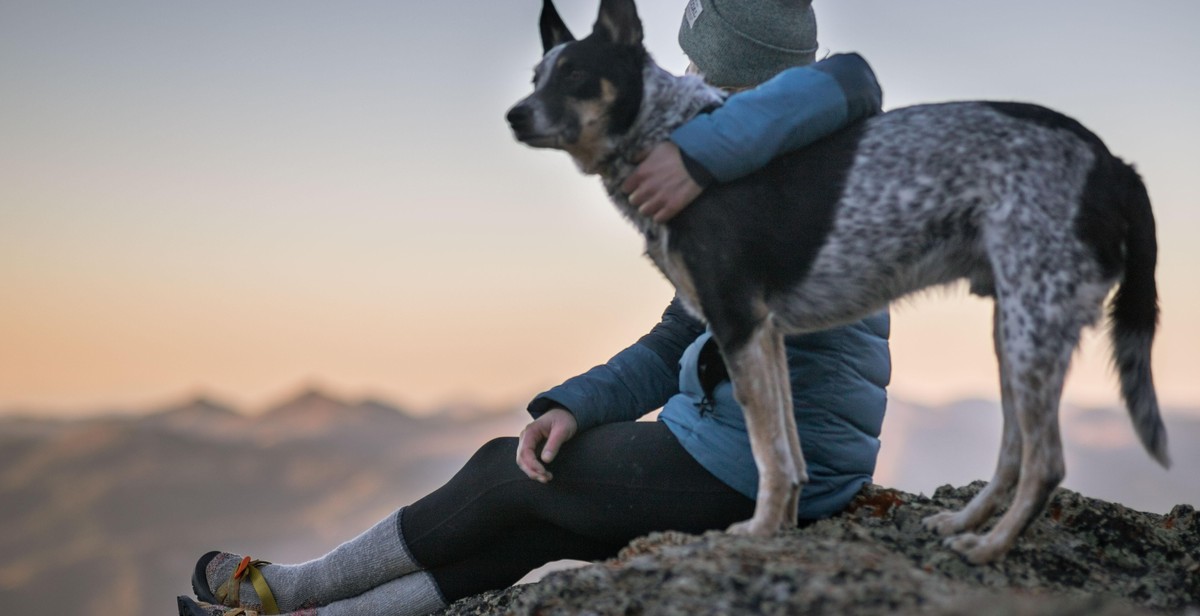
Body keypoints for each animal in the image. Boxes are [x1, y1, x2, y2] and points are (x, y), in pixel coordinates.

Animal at [501, 0, 1166, 561]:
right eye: (535, 76)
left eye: (576, 75)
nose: (513, 115)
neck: (666, 132)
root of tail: (1114, 165)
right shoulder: (765, 335)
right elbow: (788, 455)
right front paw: (777, 527)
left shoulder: (737, 324)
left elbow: (767, 452)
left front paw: (757, 534)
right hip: (1017, 330)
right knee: (1011, 453)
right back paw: (962, 524)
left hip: (1033, 328)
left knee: (1045, 463)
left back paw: (990, 548)